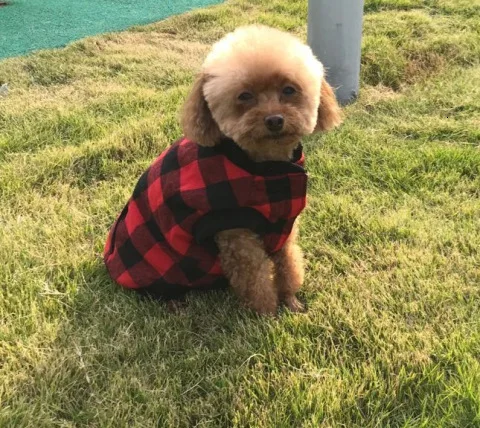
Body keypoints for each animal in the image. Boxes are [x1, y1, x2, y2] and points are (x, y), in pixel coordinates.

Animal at [104, 25, 342, 315]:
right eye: (244, 96)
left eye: (289, 90)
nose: (274, 120)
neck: (268, 168)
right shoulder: (234, 230)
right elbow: (254, 278)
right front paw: (266, 314)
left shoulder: (284, 222)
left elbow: (288, 262)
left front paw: (290, 301)